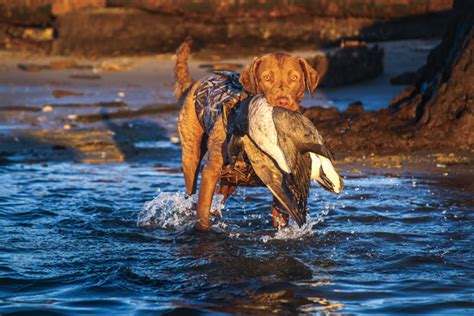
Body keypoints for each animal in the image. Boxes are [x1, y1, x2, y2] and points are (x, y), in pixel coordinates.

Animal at [176, 39, 320, 232]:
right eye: (267, 78)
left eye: (294, 78)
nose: (282, 102)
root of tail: (195, 83)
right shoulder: (210, 173)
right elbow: (202, 216)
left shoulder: (282, 184)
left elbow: (281, 214)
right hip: (191, 155)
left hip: (229, 181)